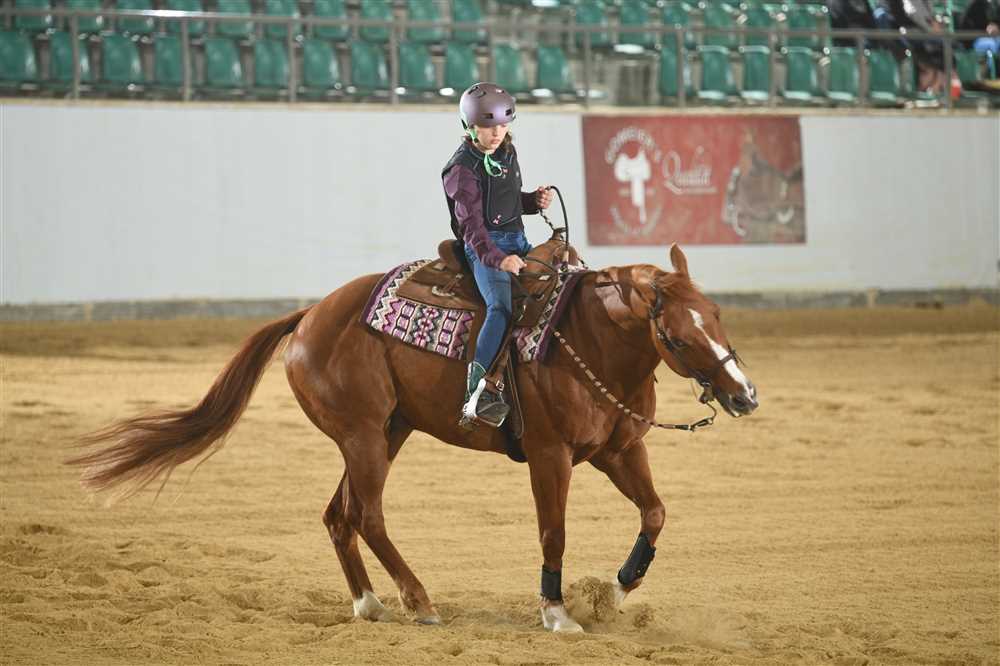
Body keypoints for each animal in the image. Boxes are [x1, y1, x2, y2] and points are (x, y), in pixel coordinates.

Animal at [68, 242, 758, 633]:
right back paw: (419, 601)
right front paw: (558, 612)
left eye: (718, 315)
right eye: (677, 336)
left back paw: (370, 605)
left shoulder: (618, 450)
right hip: (364, 436)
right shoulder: (550, 456)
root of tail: (310, 316)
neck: (587, 340)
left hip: (383, 433)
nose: (744, 394)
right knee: (366, 515)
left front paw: (614, 591)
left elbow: (655, 512)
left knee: (338, 515)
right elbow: (553, 532)